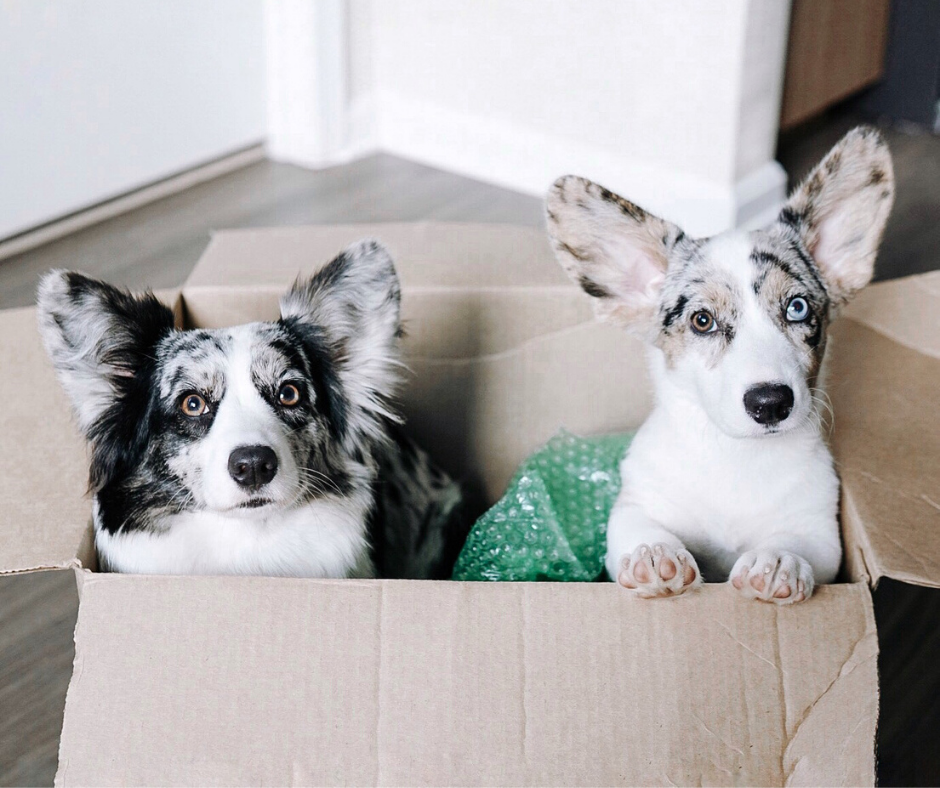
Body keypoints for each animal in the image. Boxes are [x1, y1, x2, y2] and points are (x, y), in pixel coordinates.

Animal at [544, 126, 896, 604]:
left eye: (798, 307)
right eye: (702, 320)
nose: (770, 403)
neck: (737, 455)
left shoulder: (821, 533)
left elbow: (798, 543)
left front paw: (776, 562)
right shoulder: (638, 503)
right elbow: (638, 528)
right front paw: (654, 555)